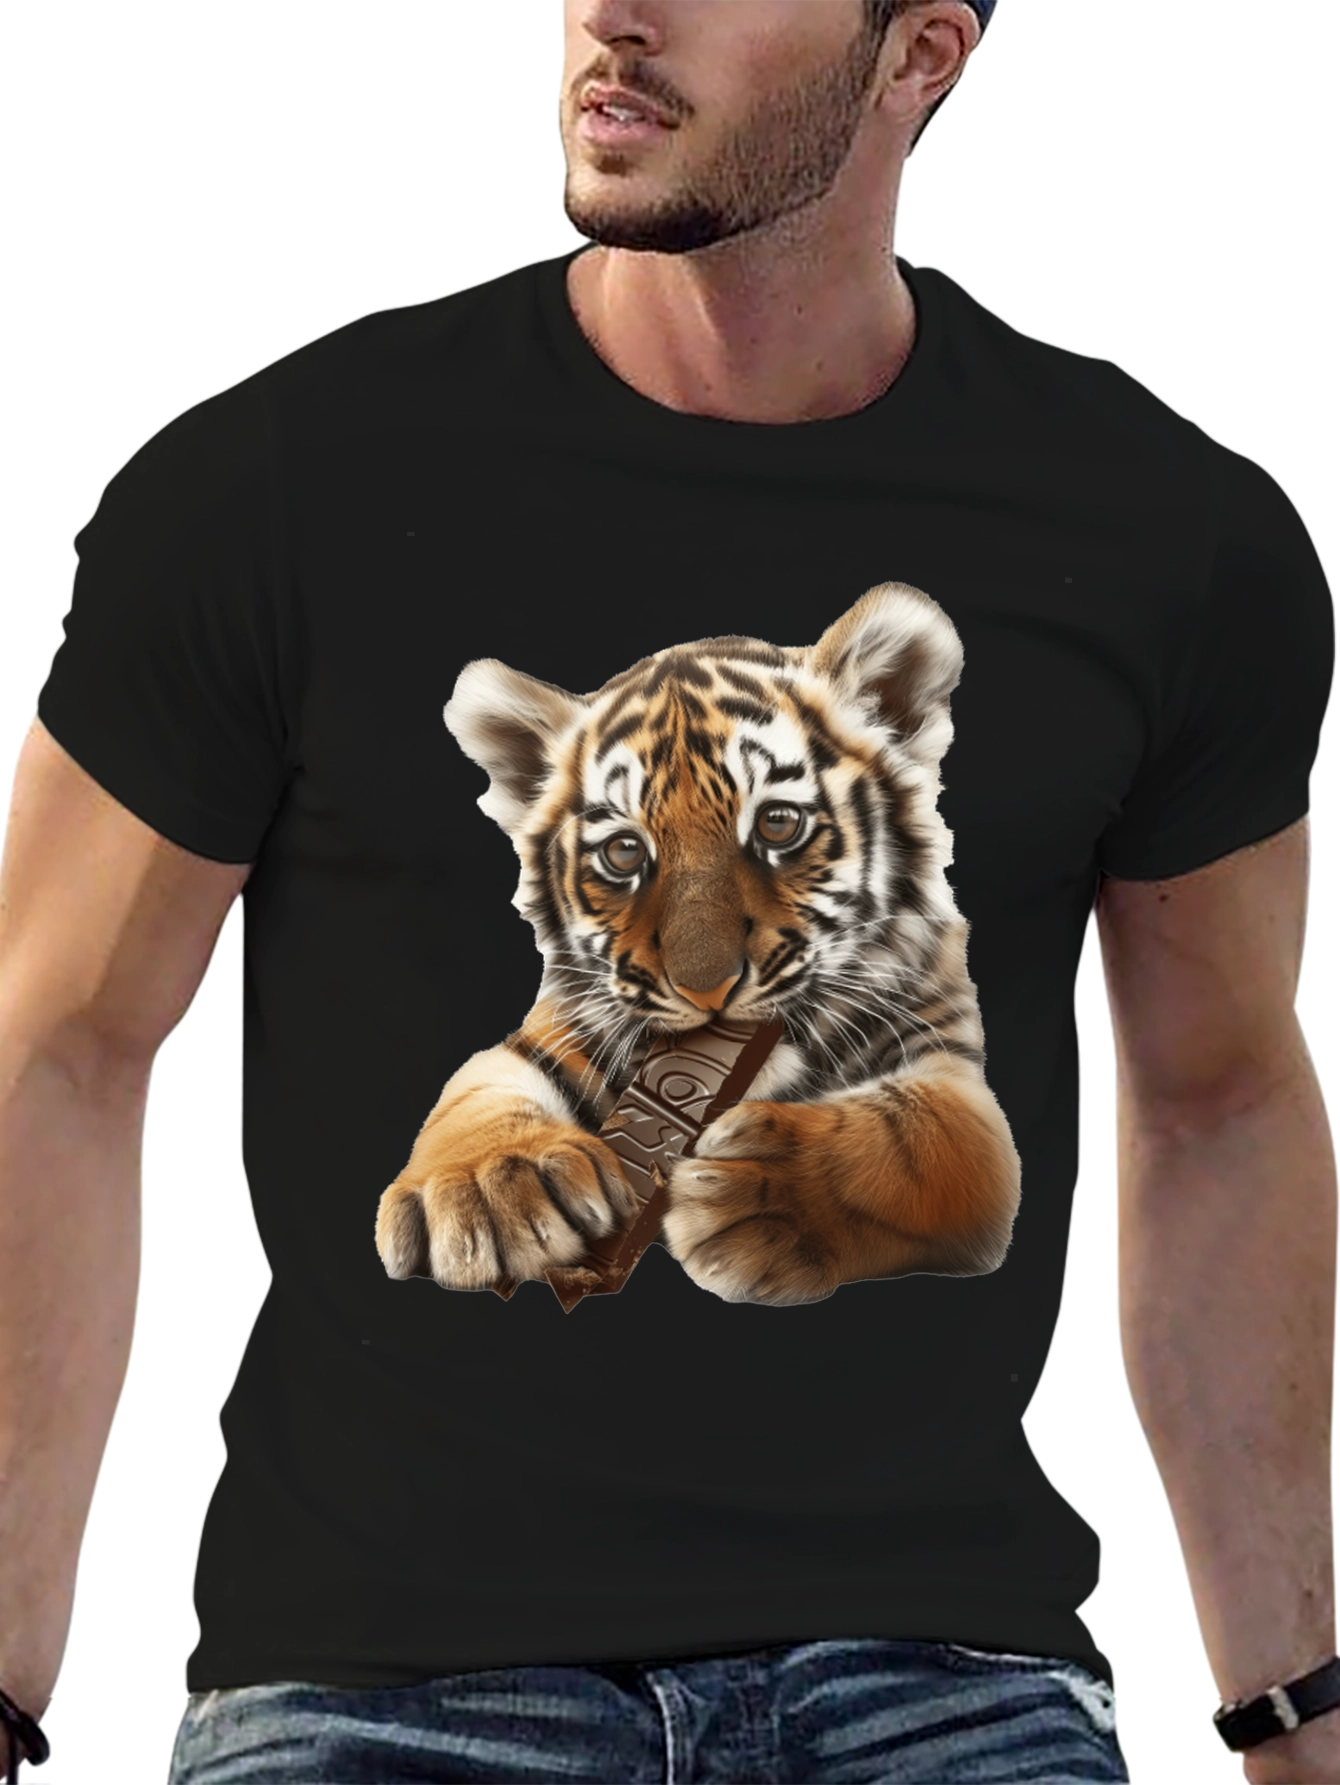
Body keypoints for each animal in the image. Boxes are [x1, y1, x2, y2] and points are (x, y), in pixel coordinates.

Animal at [375, 582, 1020, 1307]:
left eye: (777, 823)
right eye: (625, 852)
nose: (708, 989)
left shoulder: (952, 1067)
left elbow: (918, 1135)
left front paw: (761, 1196)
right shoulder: (552, 1029)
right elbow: (475, 1093)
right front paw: (488, 1186)